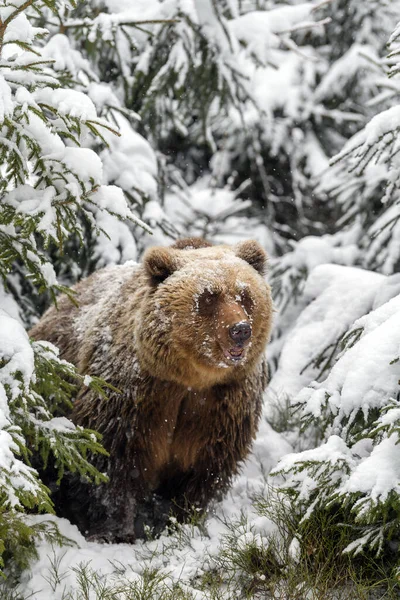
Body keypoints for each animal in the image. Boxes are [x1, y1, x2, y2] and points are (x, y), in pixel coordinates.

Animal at [31, 239, 274, 544]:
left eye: (245, 295)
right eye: (209, 297)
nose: (240, 329)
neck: (190, 378)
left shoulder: (222, 406)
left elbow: (204, 469)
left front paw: (180, 522)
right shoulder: (134, 395)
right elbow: (112, 460)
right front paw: (115, 531)